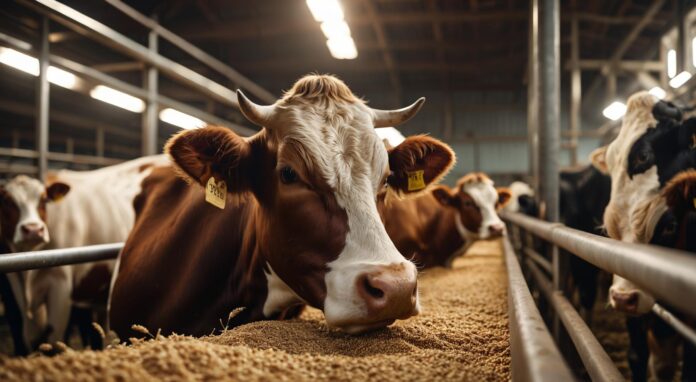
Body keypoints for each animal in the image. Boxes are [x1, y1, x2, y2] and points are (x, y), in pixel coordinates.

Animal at [0, 176, 69, 356]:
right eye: (7, 201)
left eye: (44, 200)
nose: (33, 230)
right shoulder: (9, 287)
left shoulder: (61, 285)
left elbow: (54, 336)